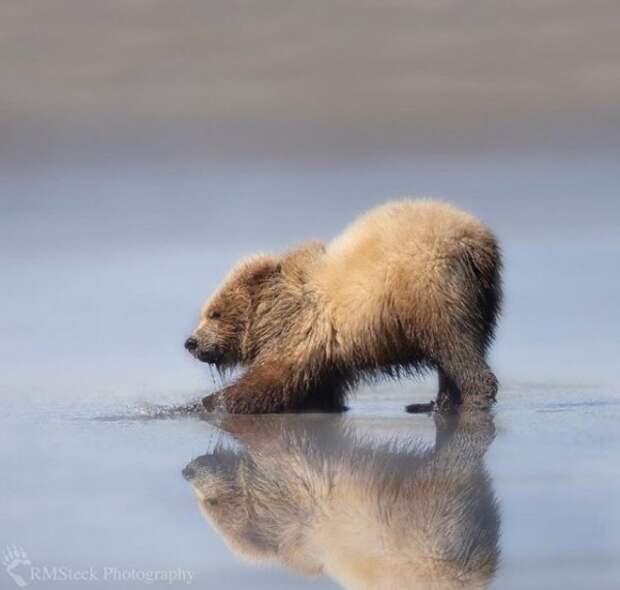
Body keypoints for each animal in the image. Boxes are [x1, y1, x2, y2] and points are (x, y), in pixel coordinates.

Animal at [184, 201, 498, 414]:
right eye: (206, 312)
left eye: (214, 313)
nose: (191, 342)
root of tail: (474, 241)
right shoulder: (326, 354)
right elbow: (317, 390)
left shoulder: (301, 327)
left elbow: (273, 376)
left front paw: (207, 402)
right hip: (483, 297)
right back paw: (437, 403)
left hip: (427, 291)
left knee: (453, 345)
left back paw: (472, 397)